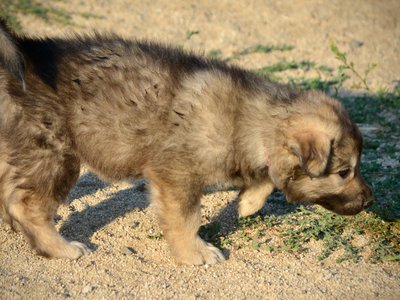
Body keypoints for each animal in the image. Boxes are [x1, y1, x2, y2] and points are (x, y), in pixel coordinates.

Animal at [0, 20, 376, 264]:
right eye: (344, 172)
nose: (370, 200)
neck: (248, 119)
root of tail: (24, 51)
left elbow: (265, 177)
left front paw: (248, 202)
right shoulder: (177, 176)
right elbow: (186, 219)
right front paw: (195, 253)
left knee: (9, 191)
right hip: (56, 155)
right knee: (27, 204)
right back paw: (59, 248)